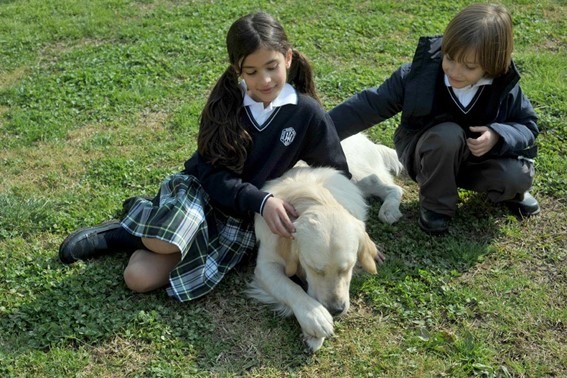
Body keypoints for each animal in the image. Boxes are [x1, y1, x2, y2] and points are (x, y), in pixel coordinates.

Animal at [248, 133, 404, 352]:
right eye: (315, 269)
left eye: (347, 268)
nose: (336, 309)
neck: (313, 197)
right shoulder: (266, 264)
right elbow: (291, 287)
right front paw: (316, 317)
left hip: (357, 175)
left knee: (391, 186)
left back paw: (389, 209)